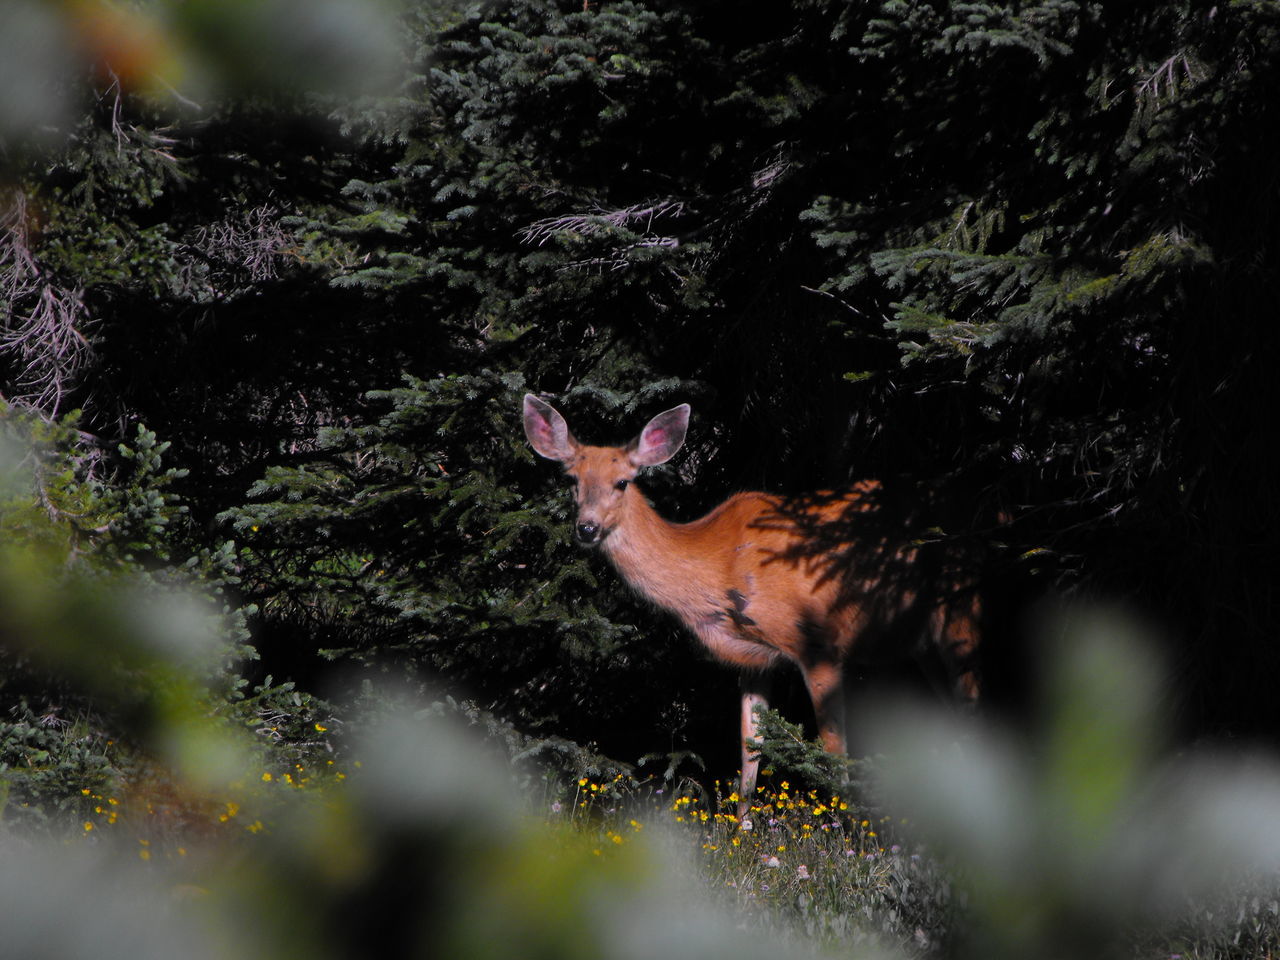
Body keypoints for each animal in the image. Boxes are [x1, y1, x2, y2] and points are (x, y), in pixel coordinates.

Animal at [519, 391, 977, 819]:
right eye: (572, 479)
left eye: (622, 482)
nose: (587, 528)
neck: (721, 566)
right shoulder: (753, 657)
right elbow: (749, 746)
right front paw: (743, 829)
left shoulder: (819, 643)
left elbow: (834, 750)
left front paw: (851, 830)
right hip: (921, 641)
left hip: (961, 608)